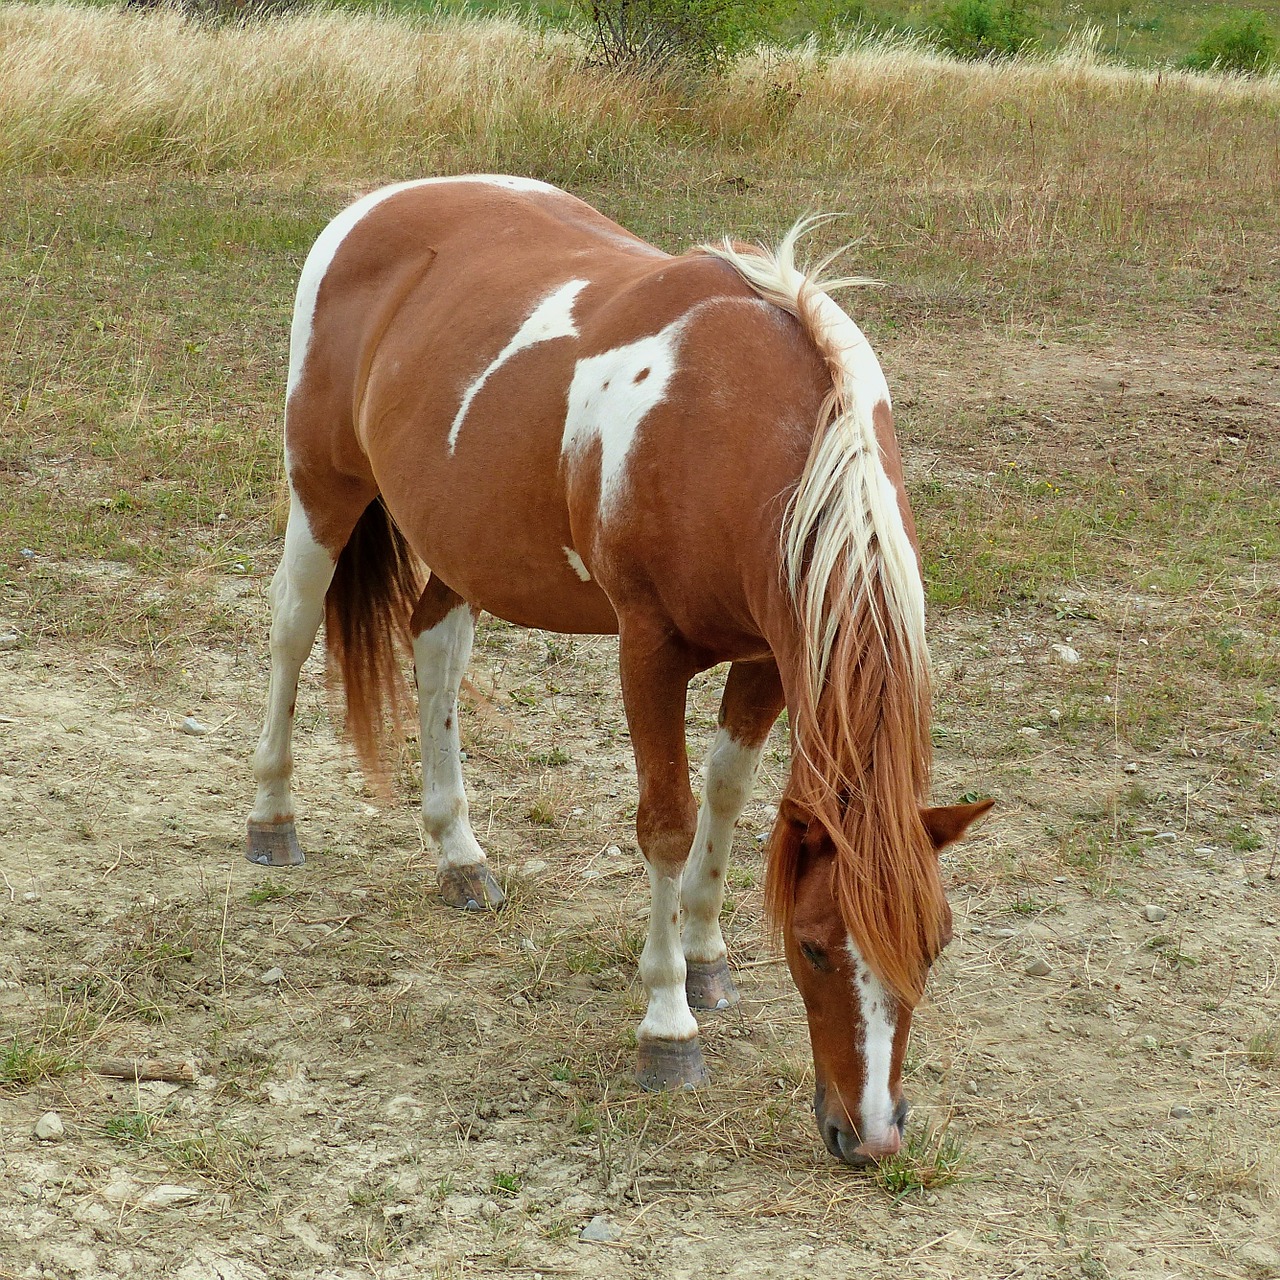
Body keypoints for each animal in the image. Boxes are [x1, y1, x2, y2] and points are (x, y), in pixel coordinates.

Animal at [247, 177, 988, 1172]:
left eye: (935, 944)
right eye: (814, 948)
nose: (869, 1136)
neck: (744, 428)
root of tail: (377, 205)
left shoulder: (768, 658)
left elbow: (726, 802)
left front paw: (707, 957)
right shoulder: (651, 650)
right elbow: (668, 825)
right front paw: (669, 1025)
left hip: (466, 541)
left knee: (436, 648)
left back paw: (459, 854)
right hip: (322, 489)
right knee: (291, 631)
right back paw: (272, 818)